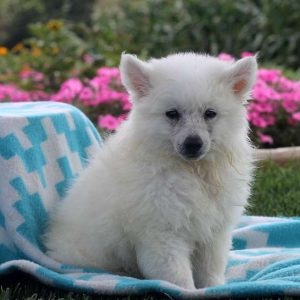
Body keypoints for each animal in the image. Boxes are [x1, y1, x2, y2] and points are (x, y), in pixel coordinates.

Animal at [45, 52, 256, 290]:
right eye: (172, 114)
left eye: (210, 113)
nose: (193, 144)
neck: (192, 171)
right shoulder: (162, 234)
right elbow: (178, 276)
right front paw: (187, 291)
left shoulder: (214, 233)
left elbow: (211, 269)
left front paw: (214, 288)